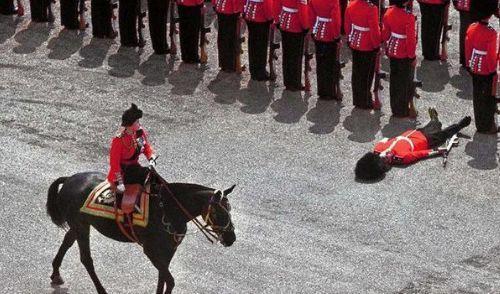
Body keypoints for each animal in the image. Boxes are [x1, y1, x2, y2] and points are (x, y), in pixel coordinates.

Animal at [47, 170, 236, 294]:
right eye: (218, 212)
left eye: (229, 209)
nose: (231, 238)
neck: (168, 209)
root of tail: (69, 179)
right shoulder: (151, 250)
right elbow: (170, 280)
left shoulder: (168, 251)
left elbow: (163, 279)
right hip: (81, 226)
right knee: (86, 259)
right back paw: (101, 289)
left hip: (79, 225)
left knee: (67, 241)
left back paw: (56, 273)